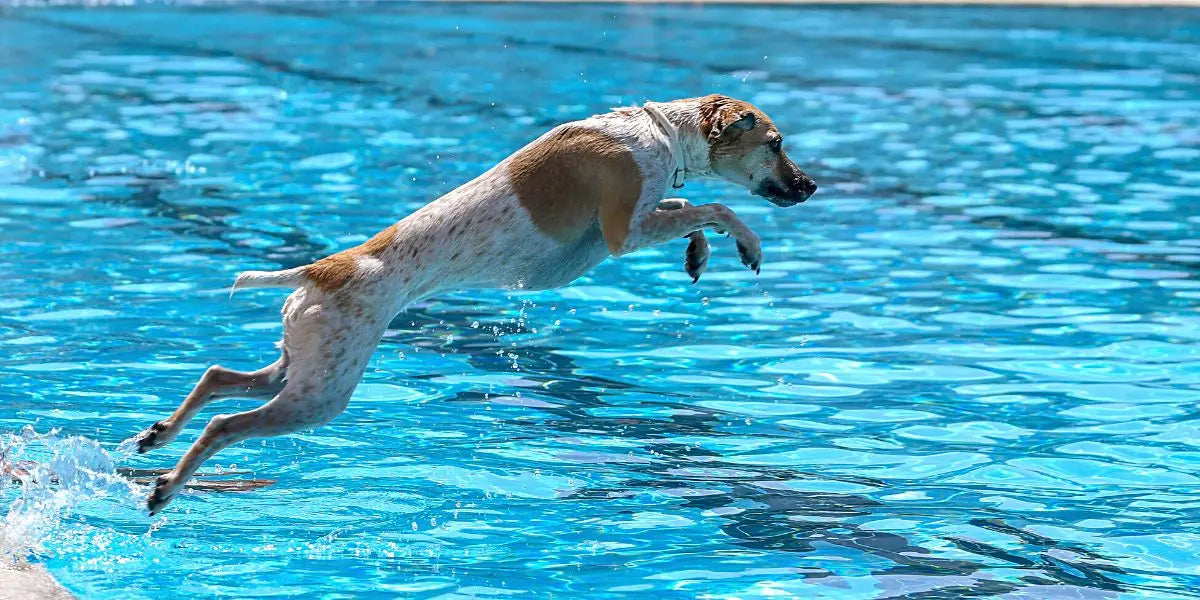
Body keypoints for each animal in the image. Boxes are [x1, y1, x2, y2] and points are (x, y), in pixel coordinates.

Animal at [138, 94, 816, 516]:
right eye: (776, 143)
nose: (811, 186)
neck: (657, 130)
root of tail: (320, 267)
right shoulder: (622, 232)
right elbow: (712, 206)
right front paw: (744, 241)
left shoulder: (628, 227)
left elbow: (687, 211)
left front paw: (700, 251)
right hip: (322, 393)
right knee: (226, 425)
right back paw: (166, 488)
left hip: (300, 365)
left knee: (217, 376)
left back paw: (157, 438)